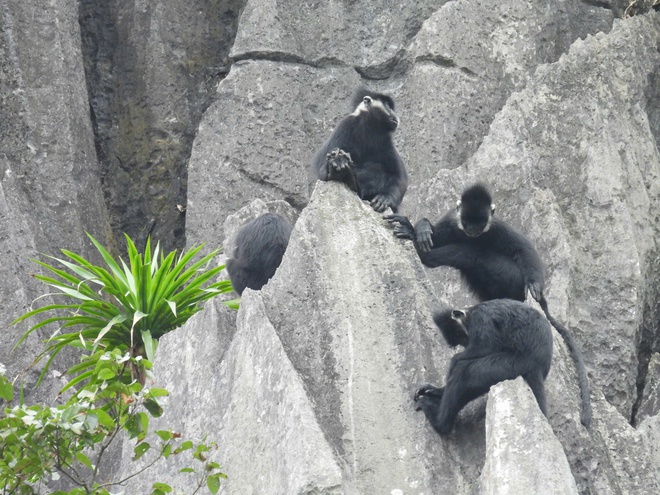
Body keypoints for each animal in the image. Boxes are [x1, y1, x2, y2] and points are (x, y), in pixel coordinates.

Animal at [416, 298, 556, 434]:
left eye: (460, 335)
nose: (465, 344)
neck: (470, 312)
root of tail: (538, 366)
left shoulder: (479, 318)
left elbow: (487, 347)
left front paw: (454, 360)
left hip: (511, 366)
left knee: (463, 372)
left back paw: (440, 424)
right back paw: (438, 394)